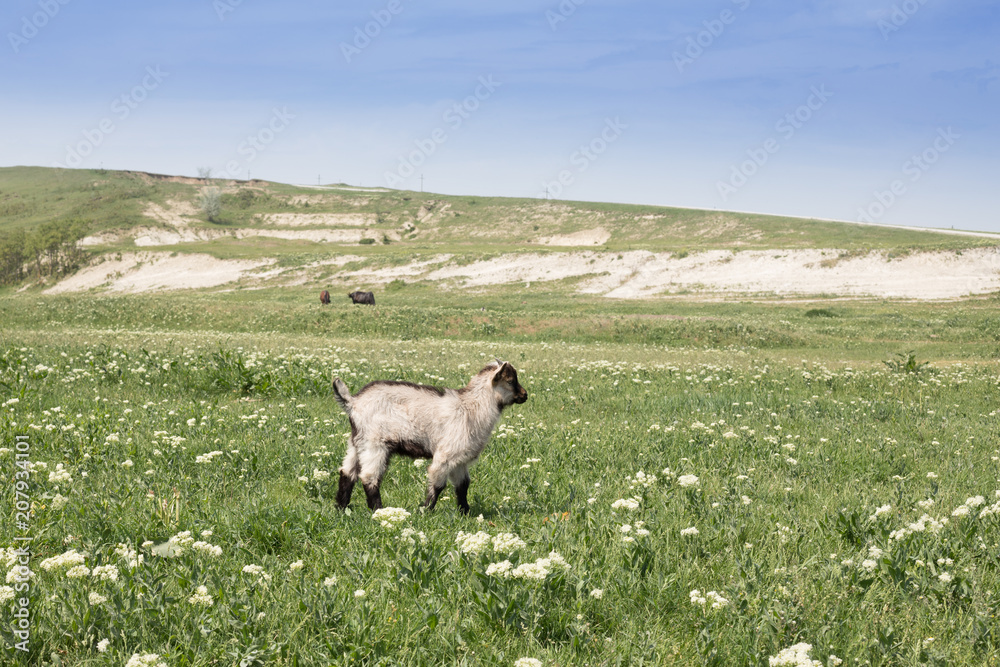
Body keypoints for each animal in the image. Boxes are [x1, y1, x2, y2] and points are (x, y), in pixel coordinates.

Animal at [332, 360, 528, 514]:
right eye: (510, 381)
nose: (525, 395)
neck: (471, 408)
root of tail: (353, 402)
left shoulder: (460, 460)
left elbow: (463, 486)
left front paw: (465, 512)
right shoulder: (446, 455)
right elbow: (438, 484)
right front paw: (425, 511)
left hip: (357, 443)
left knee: (347, 472)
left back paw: (341, 507)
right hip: (375, 443)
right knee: (369, 477)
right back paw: (378, 510)